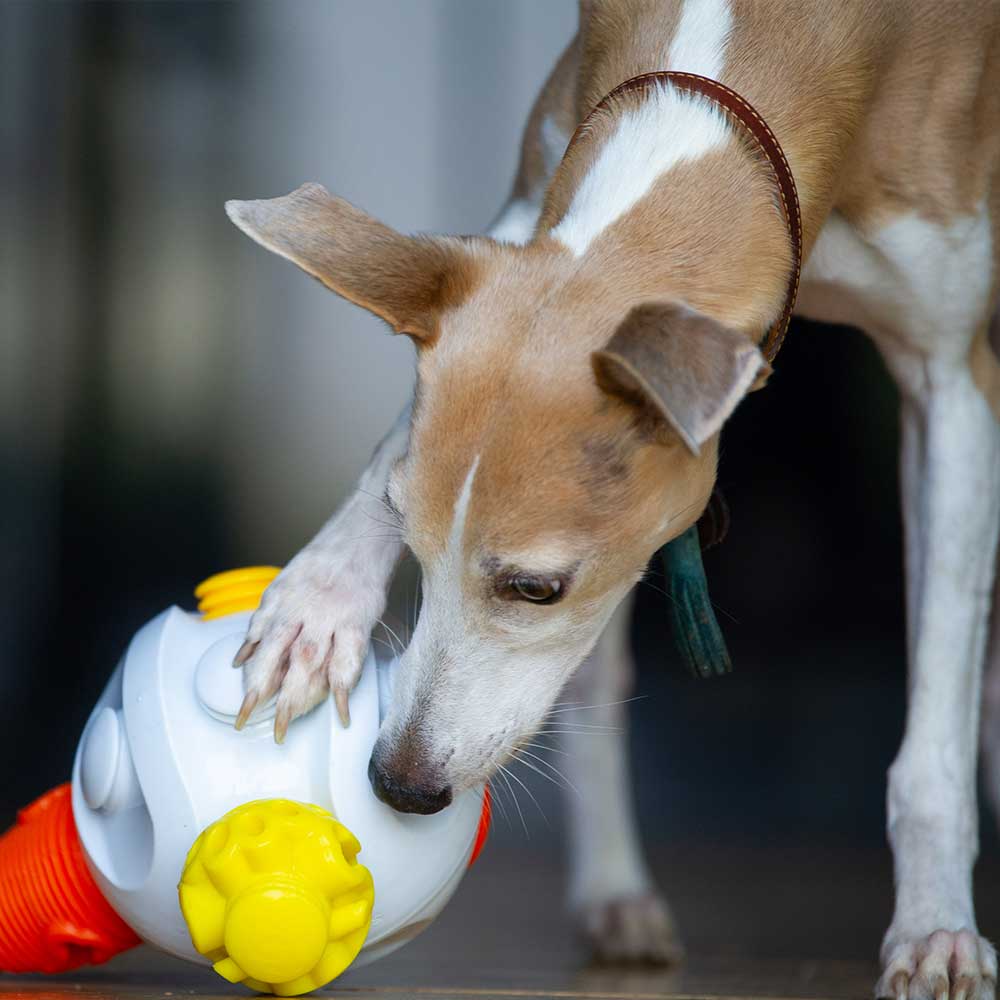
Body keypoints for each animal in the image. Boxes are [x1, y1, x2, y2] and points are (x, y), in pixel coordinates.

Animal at [225, 3, 1000, 996]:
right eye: (408, 534)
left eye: (536, 588)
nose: (400, 785)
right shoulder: (525, 212)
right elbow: (393, 440)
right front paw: (315, 612)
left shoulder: (952, 376)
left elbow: (935, 715)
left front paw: (935, 931)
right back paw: (613, 894)